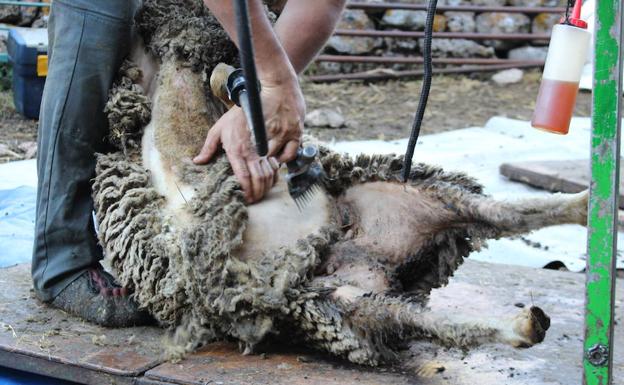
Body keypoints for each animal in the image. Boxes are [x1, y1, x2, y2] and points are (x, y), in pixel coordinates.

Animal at [92, 0, 584, 364]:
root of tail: (355, 254)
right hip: (343, 300)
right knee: (446, 302)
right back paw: (528, 318)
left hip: (390, 217)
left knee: (506, 215)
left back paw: (581, 208)